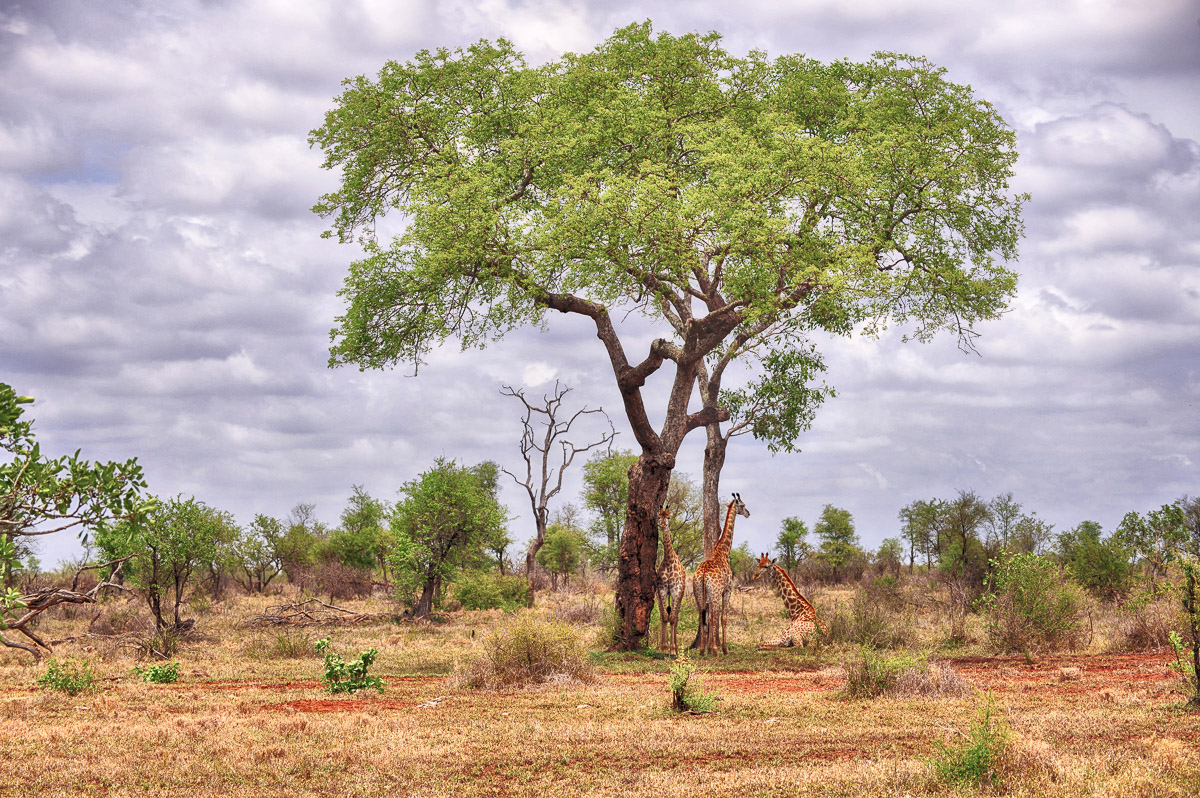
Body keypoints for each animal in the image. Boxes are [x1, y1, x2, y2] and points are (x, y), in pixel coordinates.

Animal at [692, 493, 749, 656]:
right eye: (743, 505)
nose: (748, 513)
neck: (723, 551)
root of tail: (703, 574)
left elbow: (711, 618)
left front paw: (710, 648)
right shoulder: (727, 590)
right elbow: (723, 617)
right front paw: (724, 648)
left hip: (698, 592)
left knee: (702, 616)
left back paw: (703, 650)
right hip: (715, 593)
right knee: (714, 616)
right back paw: (715, 649)